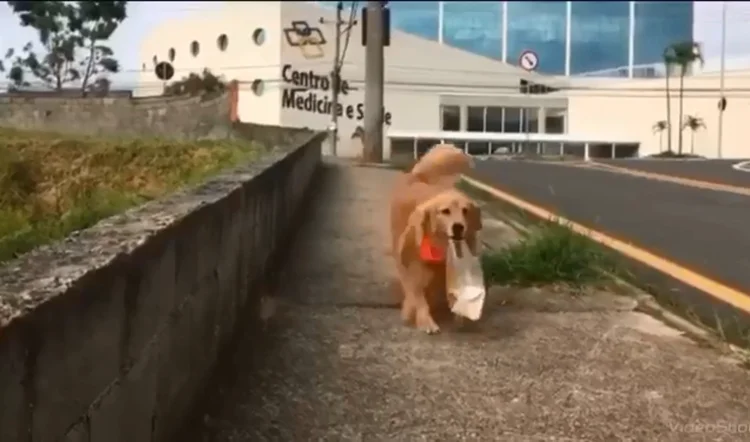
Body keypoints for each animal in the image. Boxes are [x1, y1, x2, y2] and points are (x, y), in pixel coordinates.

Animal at [390, 145, 484, 334]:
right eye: (445, 211)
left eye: (465, 211)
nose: (458, 227)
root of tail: (417, 177)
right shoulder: (413, 266)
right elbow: (417, 294)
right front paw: (424, 320)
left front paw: (458, 315)